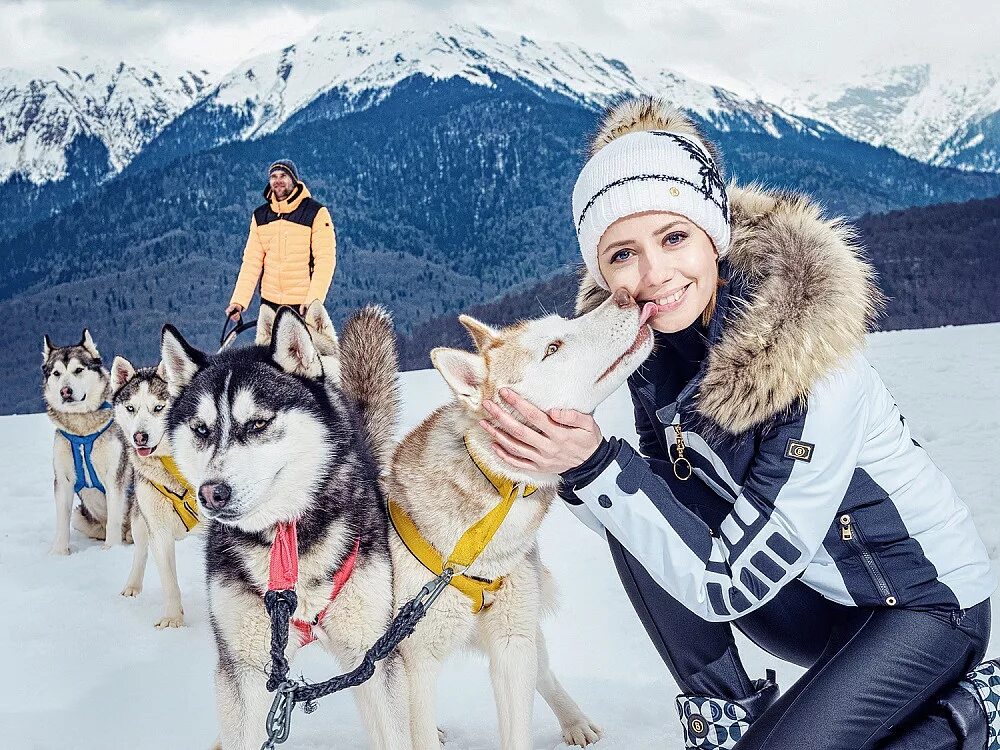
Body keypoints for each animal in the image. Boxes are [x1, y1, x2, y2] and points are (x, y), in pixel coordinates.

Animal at [43, 332, 130, 556]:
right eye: (56, 373)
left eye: (78, 370)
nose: (65, 391)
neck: (82, 431)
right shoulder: (63, 479)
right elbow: (62, 521)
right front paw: (59, 553)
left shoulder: (114, 476)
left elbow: (114, 518)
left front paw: (111, 548)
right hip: (80, 517)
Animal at [110, 362, 202, 632]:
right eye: (131, 408)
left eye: (159, 407)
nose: (139, 437)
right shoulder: (159, 531)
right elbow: (170, 582)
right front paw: (173, 619)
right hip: (140, 519)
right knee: (140, 551)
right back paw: (132, 587)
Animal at [162, 306, 412, 750]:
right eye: (201, 429)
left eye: (258, 424)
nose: (212, 493)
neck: (286, 541)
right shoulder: (243, 668)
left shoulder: (372, 655)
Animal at [384, 286, 656, 748]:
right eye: (552, 349)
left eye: (562, 326)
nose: (625, 296)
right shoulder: (418, 662)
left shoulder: (513, 646)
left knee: (543, 672)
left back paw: (574, 721)